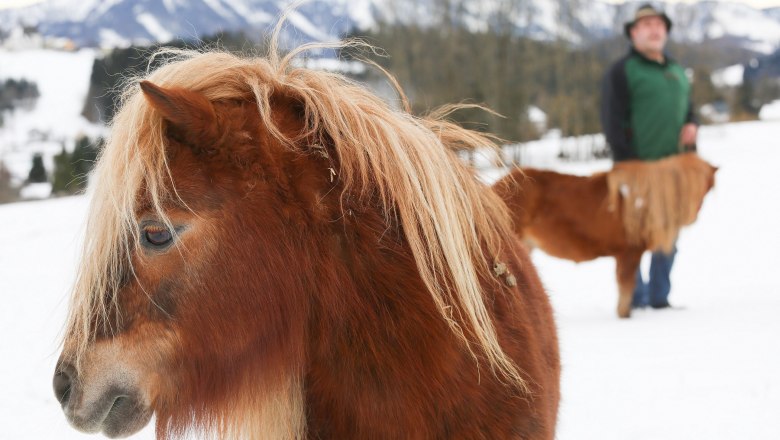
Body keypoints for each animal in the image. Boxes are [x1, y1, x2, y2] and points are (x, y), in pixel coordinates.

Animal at [496, 153, 716, 318]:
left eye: (706, 188)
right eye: (687, 188)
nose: (693, 216)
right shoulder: (629, 254)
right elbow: (626, 287)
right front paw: (624, 315)